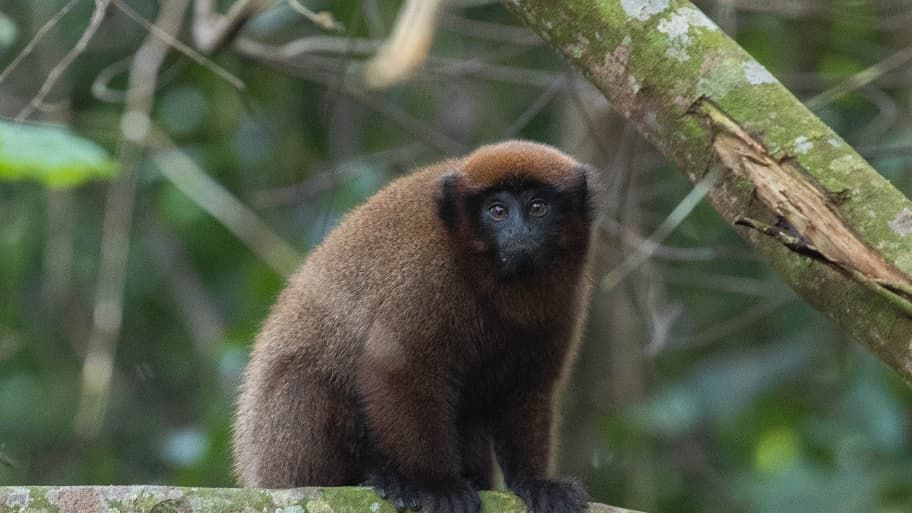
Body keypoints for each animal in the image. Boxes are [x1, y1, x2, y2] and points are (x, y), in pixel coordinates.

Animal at [232, 140, 599, 513]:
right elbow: (397, 369)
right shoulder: (427, 272)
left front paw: (534, 482)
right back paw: (381, 477)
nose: (520, 231)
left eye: (537, 207)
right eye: (497, 211)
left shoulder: (566, 296)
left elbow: (528, 386)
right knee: (310, 383)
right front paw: (438, 484)